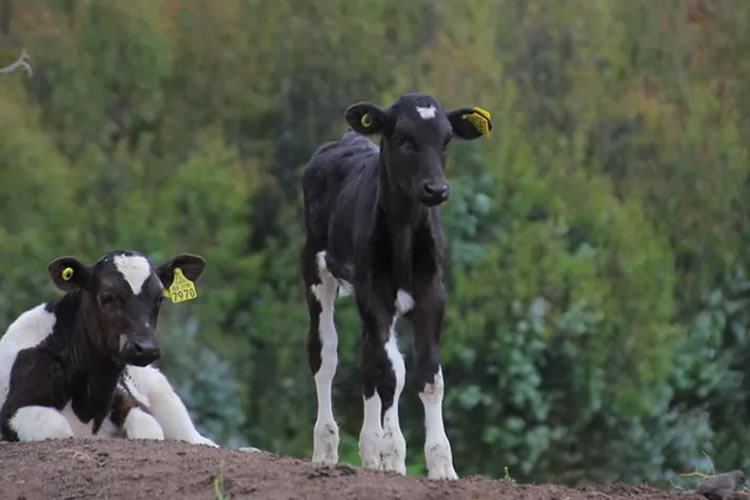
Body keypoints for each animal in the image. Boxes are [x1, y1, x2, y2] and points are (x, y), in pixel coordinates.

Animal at [0, 250, 217, 446]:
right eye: (107, 296)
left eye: (159, 298)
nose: (146, 348)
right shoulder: (13, 411)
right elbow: (56, 427)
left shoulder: (130, 402)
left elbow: (149, 428)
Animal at [300, 92, 494, 478]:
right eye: (404, 139)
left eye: (446, 140)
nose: (437, 189)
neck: (404, 234)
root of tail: (348, 139)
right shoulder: (375, 294)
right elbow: (392, 375)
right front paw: (394, 455)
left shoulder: (433, 295)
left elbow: (429, 376)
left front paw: (440, 463)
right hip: (314, 267)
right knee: (325, 353)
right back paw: (326, 447)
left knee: (367, 360)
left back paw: (369, 451)